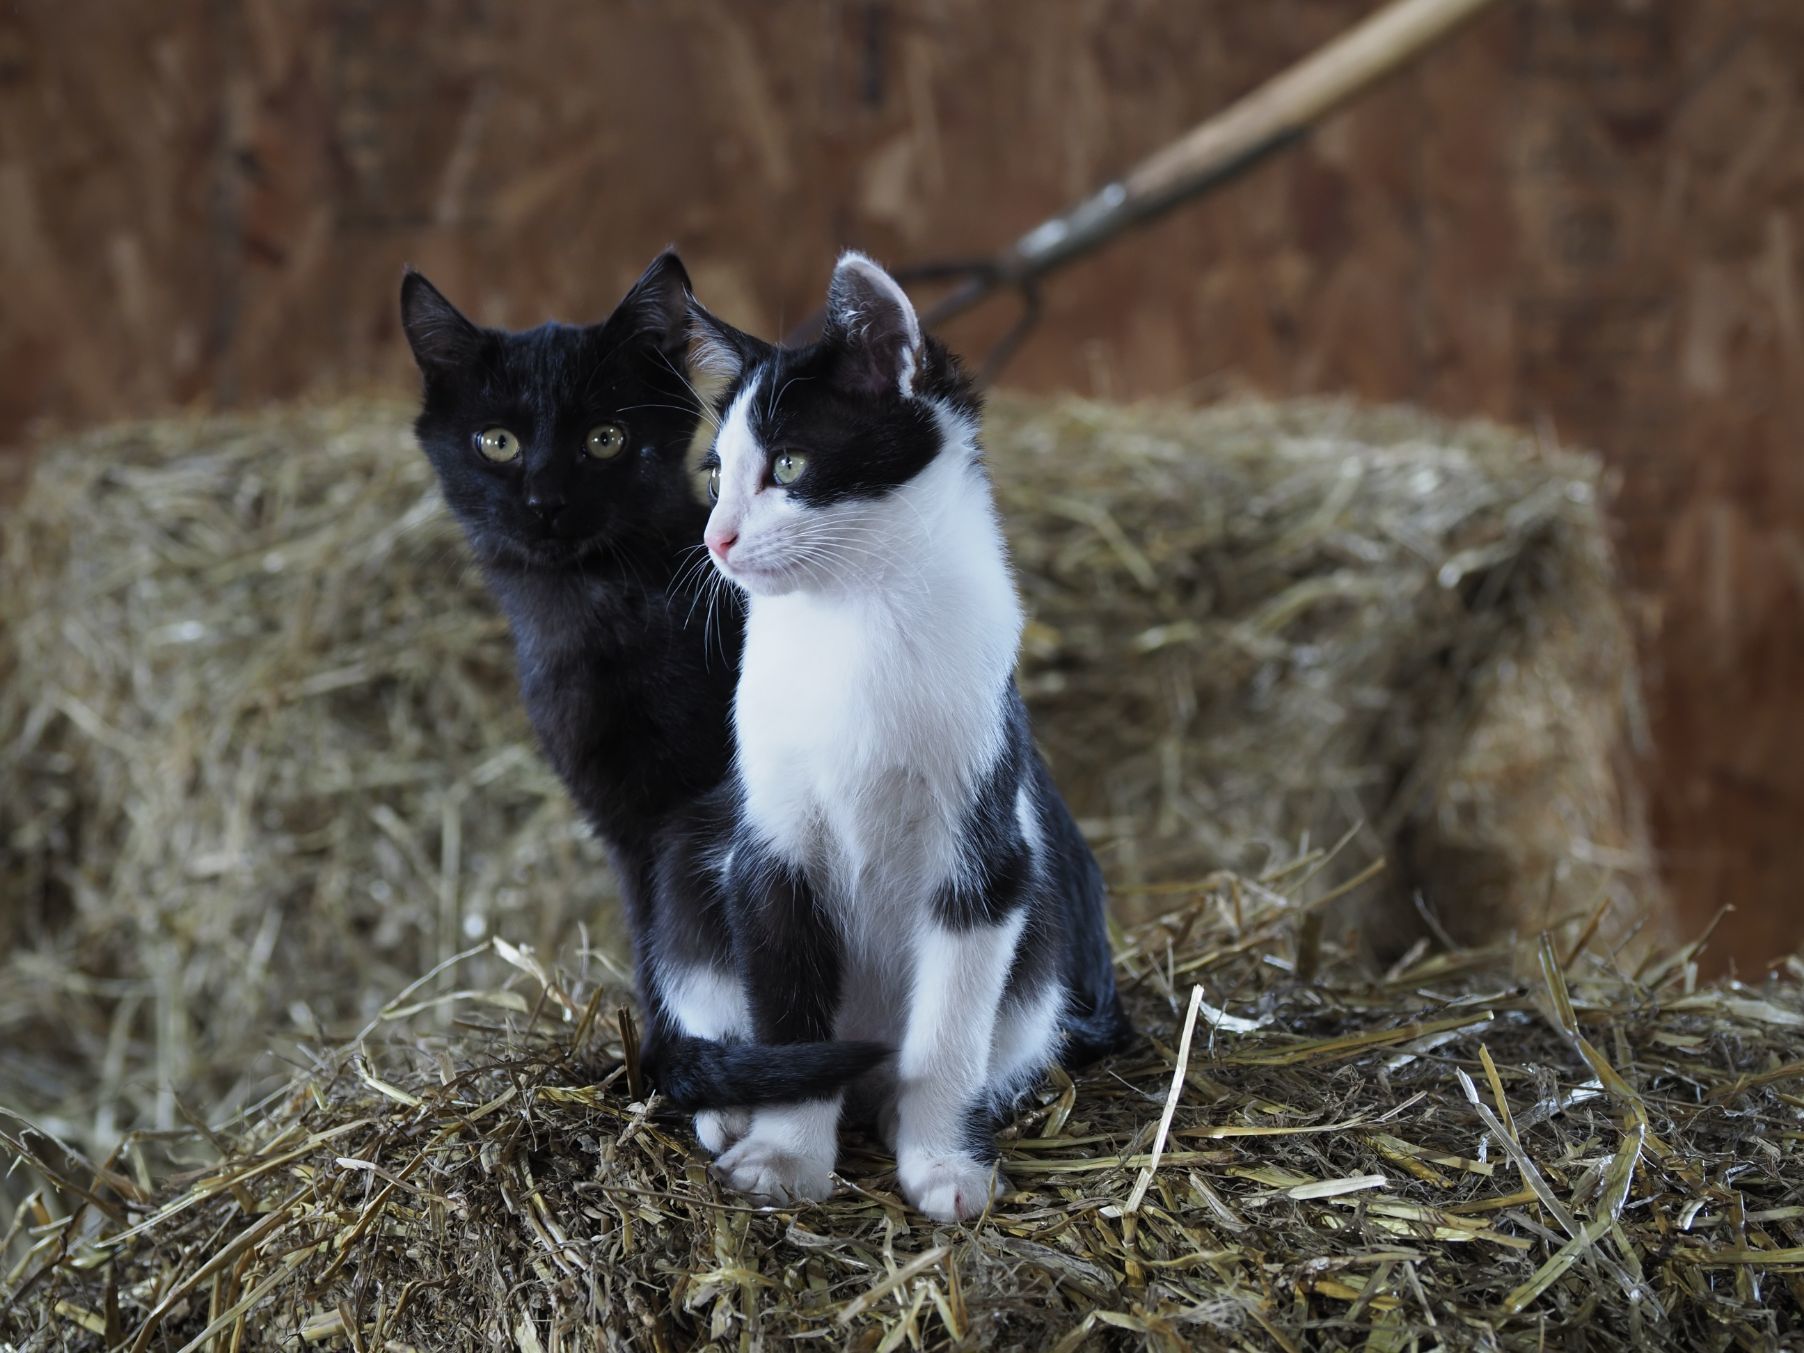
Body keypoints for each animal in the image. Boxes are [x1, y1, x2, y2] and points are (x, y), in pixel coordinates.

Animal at [404, 259, 894, 1118]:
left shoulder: (688, 812)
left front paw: (674, 1069)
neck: (599, 617)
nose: (547, 504)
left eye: (607, 439)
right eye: (497, 443)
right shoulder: (624, 824)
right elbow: (651, 939)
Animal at [685, 252, 1125, 1219]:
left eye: (791, 463)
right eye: (716, 475)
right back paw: (727, 1107)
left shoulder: (989, 856)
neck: (854, 619)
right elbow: (790, 1015)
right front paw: (784, 1156)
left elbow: (948, 1032)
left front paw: (944, 1163)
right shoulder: (767, 850)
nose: (716, 539)